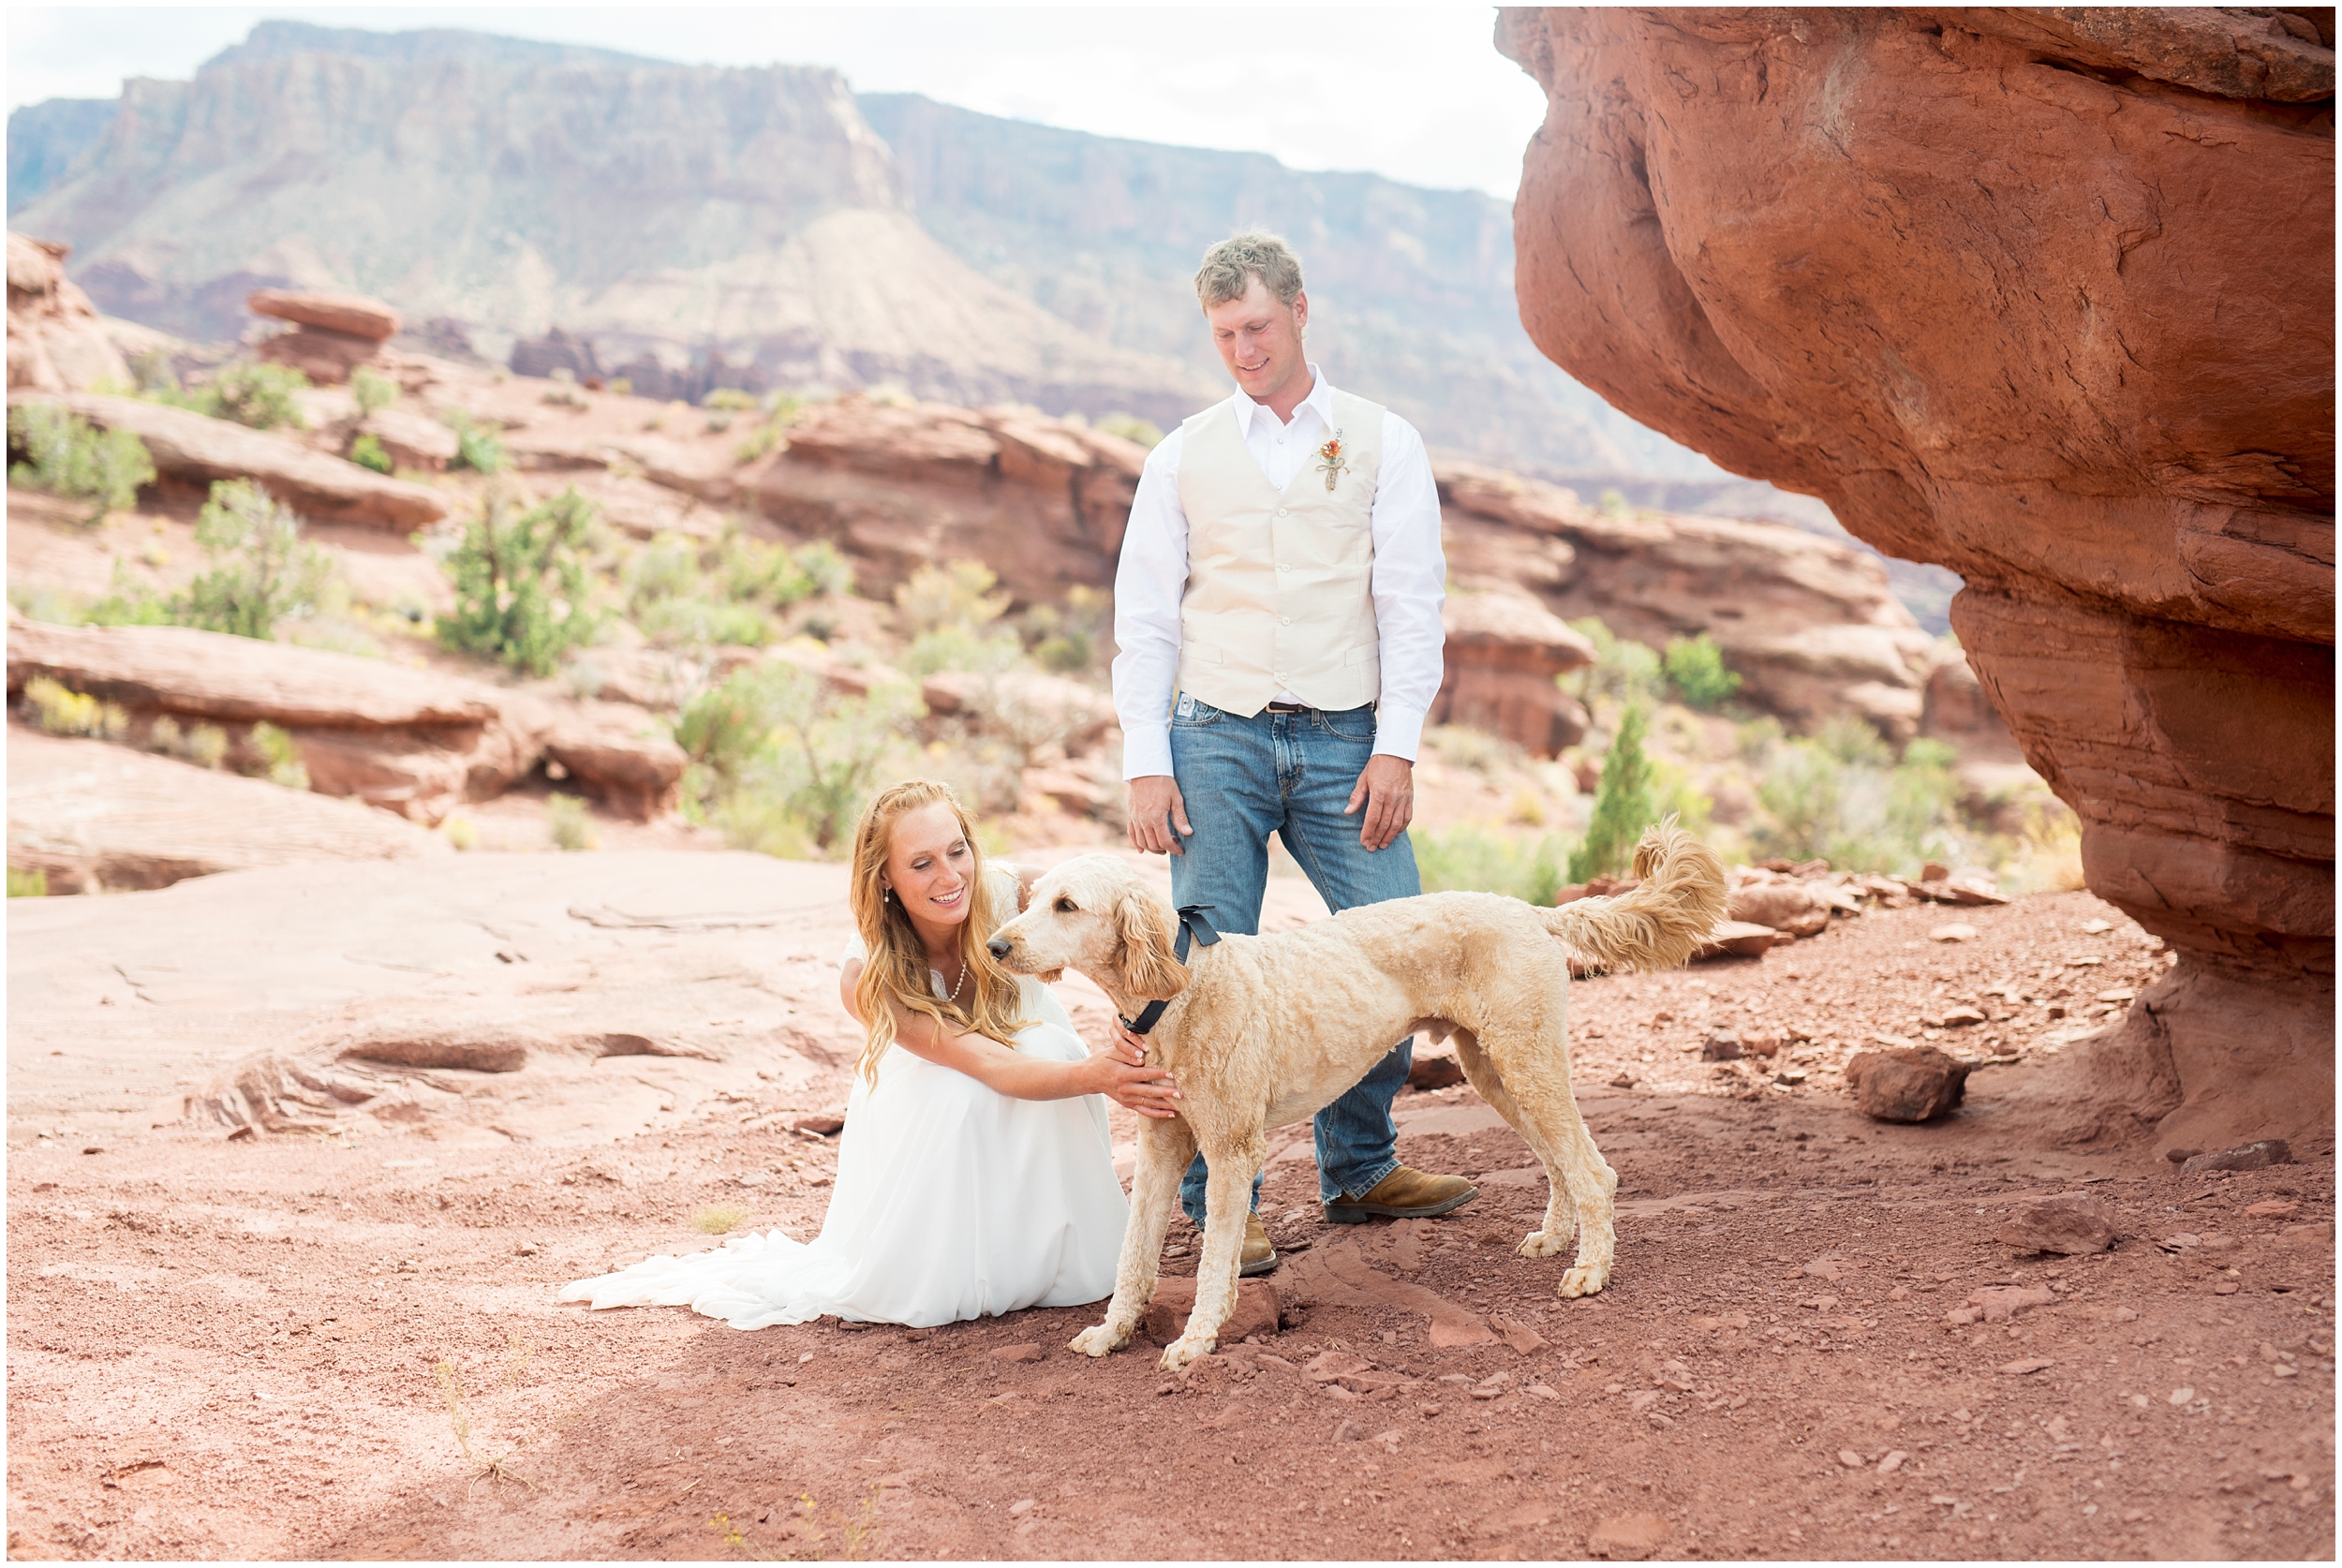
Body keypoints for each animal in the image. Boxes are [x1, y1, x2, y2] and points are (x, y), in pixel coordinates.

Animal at [979, 819, 1733, 1367]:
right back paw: (1555, 1240)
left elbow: (1214, 1261)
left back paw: (1591, 1271)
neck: (1180, 988)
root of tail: (1530, 910)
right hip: (1496, 1068)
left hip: (1527, 1059)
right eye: (1031, 898)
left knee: (1592, 1169)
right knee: (1560, 1162)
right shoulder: (1163, 1143)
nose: (994, 947)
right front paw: (1113, 1333)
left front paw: (1195, 1340)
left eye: (1066, 905)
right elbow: (1133, 1256)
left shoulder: (1230, 1149)